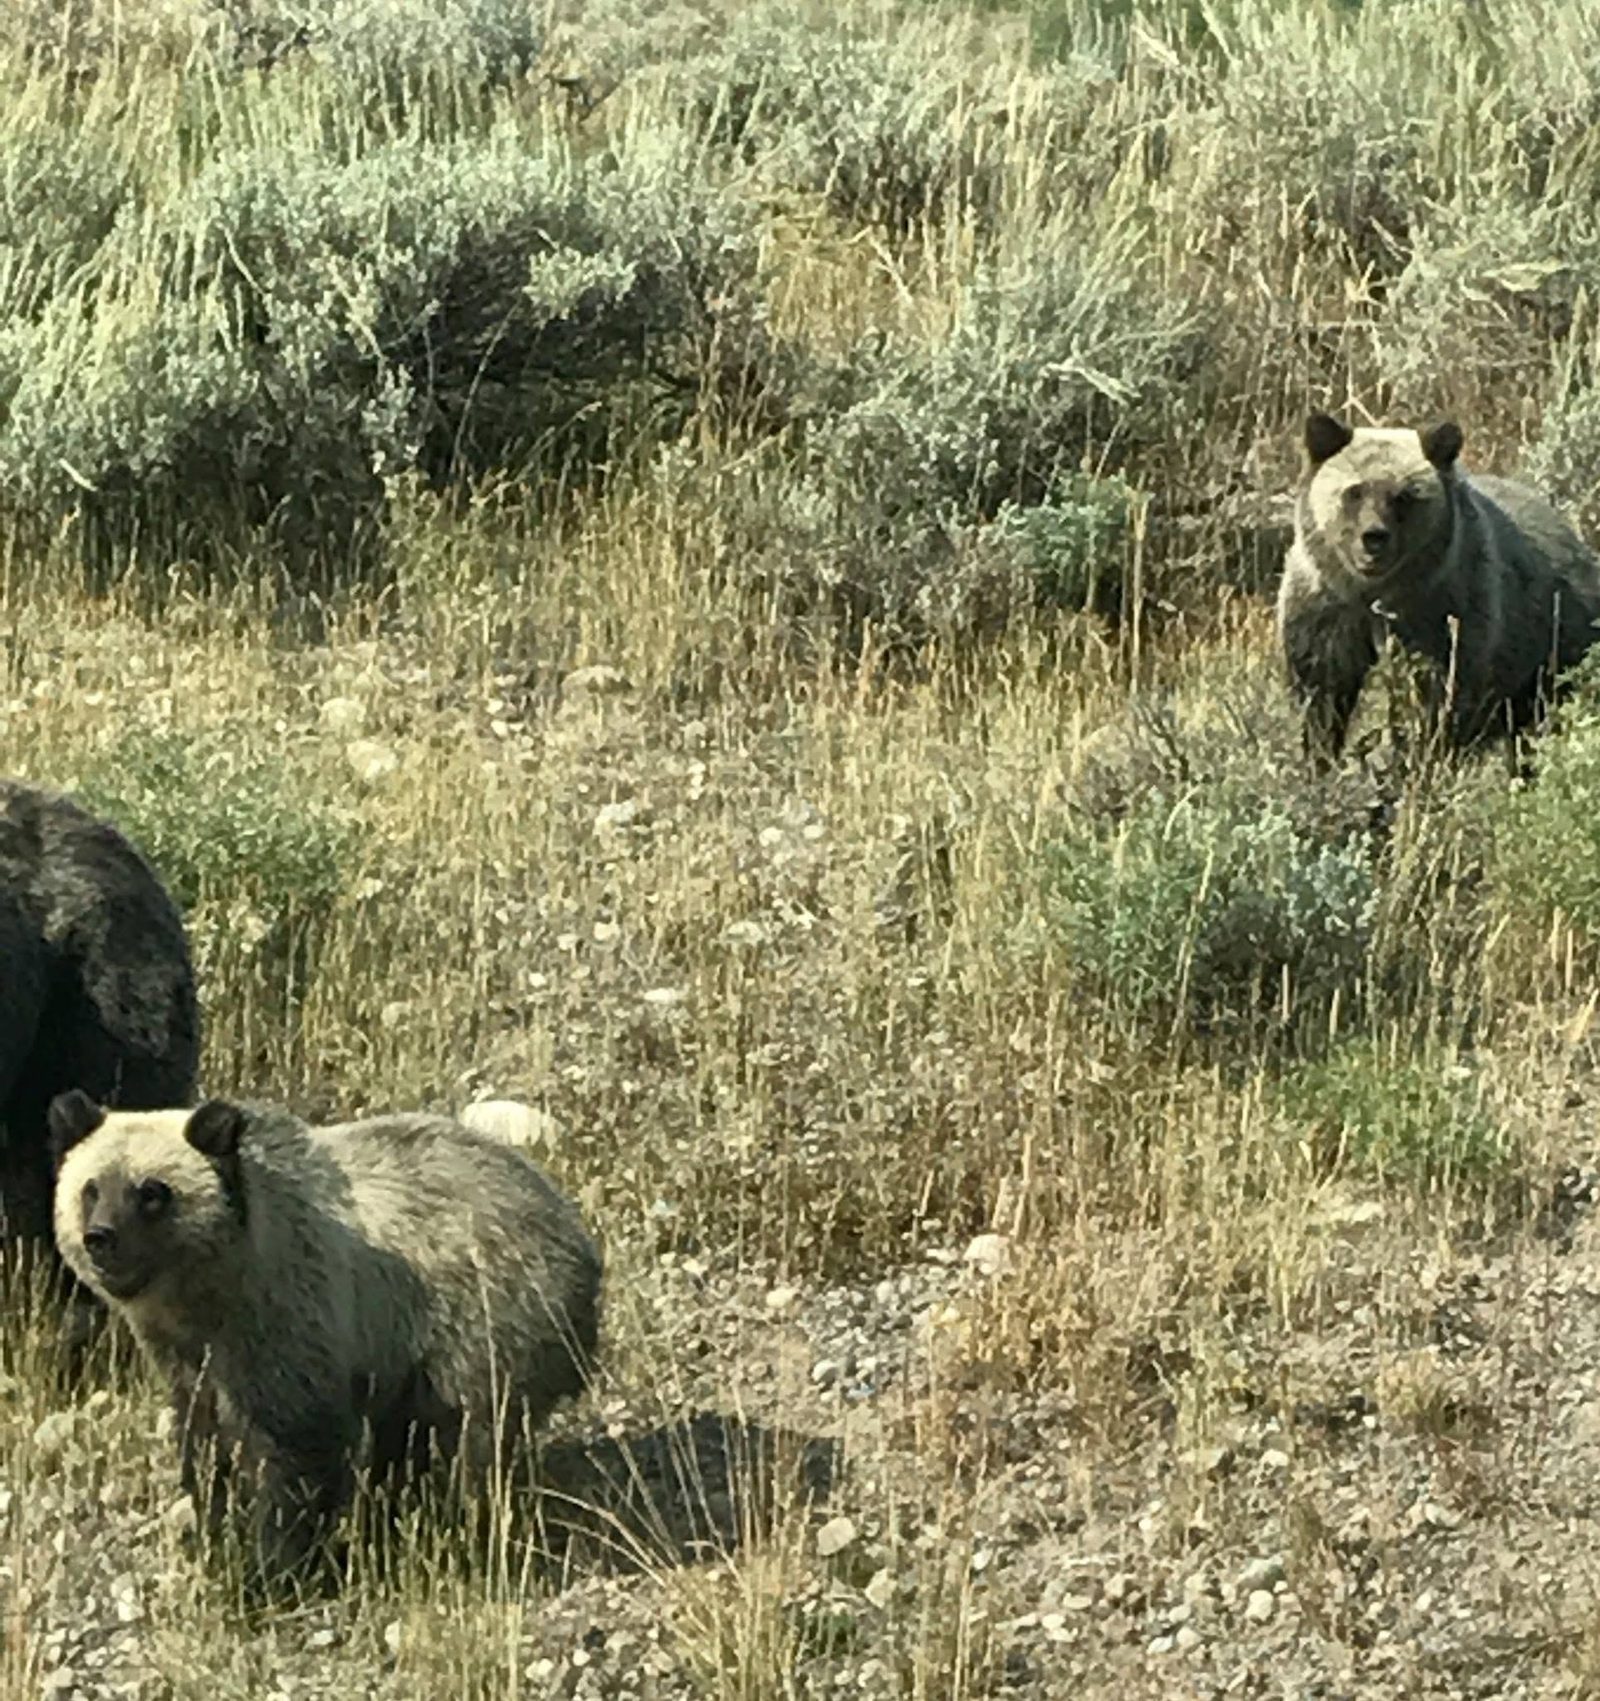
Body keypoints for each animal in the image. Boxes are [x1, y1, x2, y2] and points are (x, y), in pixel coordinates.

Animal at [48, 1090, 603, 1594]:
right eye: (91, 1187)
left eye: (152, 1192)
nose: (101, 1239)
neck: (208, 1295)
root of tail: (577, 1236)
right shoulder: (191, 1358)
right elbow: (206, 1446)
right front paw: (218, 1539)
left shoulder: (290, 1323)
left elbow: (295, 1448)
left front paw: (269, 1572)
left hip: (484, 1327)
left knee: (470, 1442)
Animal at [1276, 412, 1600, 765]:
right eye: (1355, 491)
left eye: (1404, 495)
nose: (1373, 538)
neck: (1375, 593)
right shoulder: (1327, 607)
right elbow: (1323, 690)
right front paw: (1320, 758)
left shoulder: (1441, 610)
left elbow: (1438, 693)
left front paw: (1421, 756)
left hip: (1553, 650)